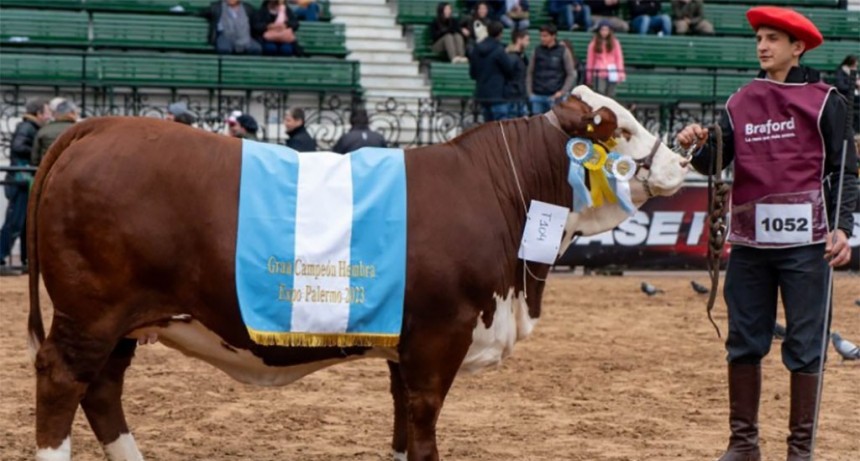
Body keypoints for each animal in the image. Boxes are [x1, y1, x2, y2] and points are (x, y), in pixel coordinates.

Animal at [26, 86, 688, 461]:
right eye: (623, 129)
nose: (683, 158)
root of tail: (99, 124)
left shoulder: (404, 347)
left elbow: (400, 433)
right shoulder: (438, 340)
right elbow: (422, 437)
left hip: (123, 324)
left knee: (103, 393)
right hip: (90, 314)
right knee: (63, 384)